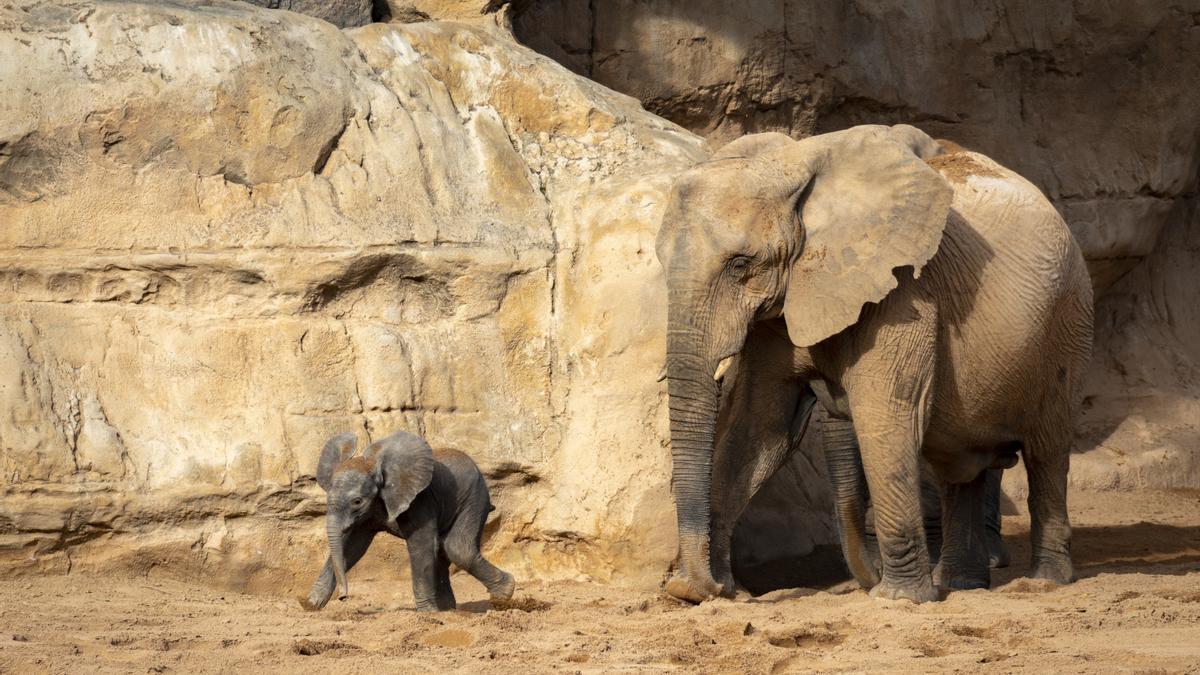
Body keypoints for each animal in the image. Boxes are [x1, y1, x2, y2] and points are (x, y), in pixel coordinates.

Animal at [300, 429, 516, 610]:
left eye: (357, 501)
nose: (344, 597)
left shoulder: (420, 499)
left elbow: (421, 544)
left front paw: (427, 613)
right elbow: (353, 546)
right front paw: (310, 605)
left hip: (474, 497)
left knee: (457, 548)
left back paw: (502, 597)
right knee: (444, 549)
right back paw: (448, 610)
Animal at [662, 123, 1094, 600]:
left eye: (740, 265)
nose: (693, 586)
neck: (794, 166)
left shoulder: (905, 292)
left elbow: (884, 417)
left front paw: (897, 600)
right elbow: (759, 427)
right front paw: (711, 590)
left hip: (1067, 323)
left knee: (1047, 451)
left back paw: (1044, 580)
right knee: (962, 466)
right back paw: (962, 585)